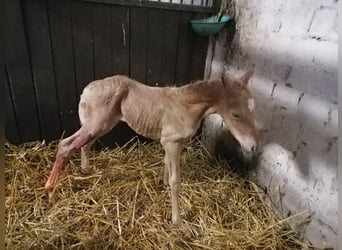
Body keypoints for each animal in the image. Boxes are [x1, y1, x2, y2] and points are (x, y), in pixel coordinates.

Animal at [46, 70, 260, 225]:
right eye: (235, 114)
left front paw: (163, 183)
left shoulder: (172, 142)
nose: (252, 147)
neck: (186, 105)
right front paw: (177, 221)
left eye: (253, 110)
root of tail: (87, 89)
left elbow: (166, 163)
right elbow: (176, 181)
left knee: (84, 145)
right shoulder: (171, 142)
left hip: (98, 125)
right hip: (96, 124)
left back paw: (85, 171)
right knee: (65, 145)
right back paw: (50, 190)